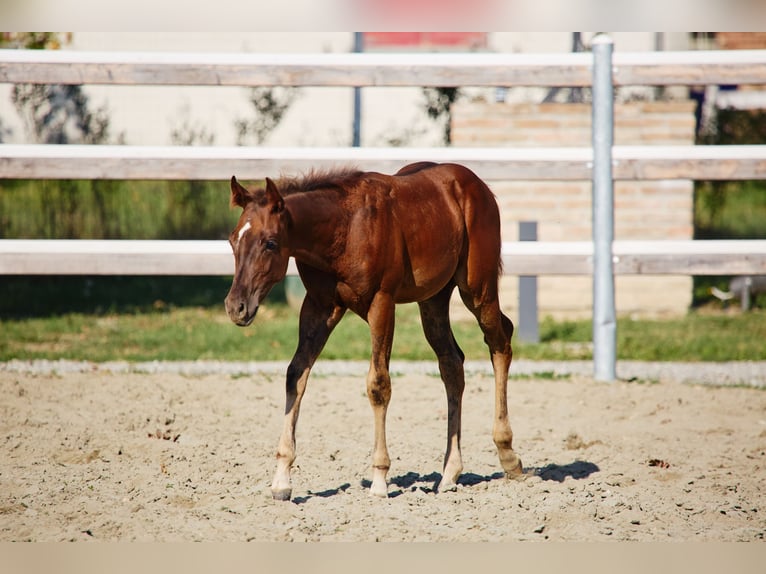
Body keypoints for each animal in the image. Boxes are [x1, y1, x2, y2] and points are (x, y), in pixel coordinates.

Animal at [224, 162, 523, 500]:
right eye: (233, 241)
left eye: (270, 242)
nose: (236, 307)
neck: (344, 228)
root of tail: (478, 186)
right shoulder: (319, 305)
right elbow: (295, 375)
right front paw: (282, 479)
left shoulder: (382, 303)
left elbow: (378, 384)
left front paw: (380, 479)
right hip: (433, 299)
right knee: (452, 364)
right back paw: (449, 473)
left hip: (477, 289)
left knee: (500, 342)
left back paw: (508, 455)